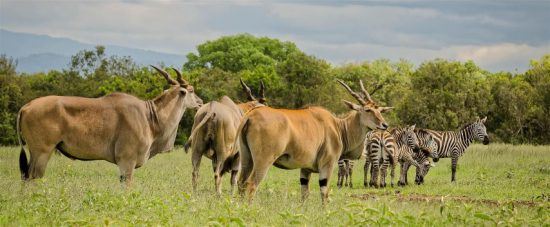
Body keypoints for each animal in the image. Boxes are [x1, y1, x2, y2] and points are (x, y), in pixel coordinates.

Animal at [17, 65, 204, 186]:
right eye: (191, 90)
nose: (201, 102)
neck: (149, 116)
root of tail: (25, 107)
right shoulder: (127, 162)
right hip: (42, 152)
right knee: (33, 177)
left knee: (26, 176)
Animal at [237, 80, 392, 204]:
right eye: (368, 110)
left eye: (379, 110)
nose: (384, 125)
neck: (339, 127)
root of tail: (250, 116)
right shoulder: (327, 165)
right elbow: (324, 192)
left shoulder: (305, 169)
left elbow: (304, 193)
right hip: (264, 160)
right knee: (251, 184)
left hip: (246, 159)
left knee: (241, 182)